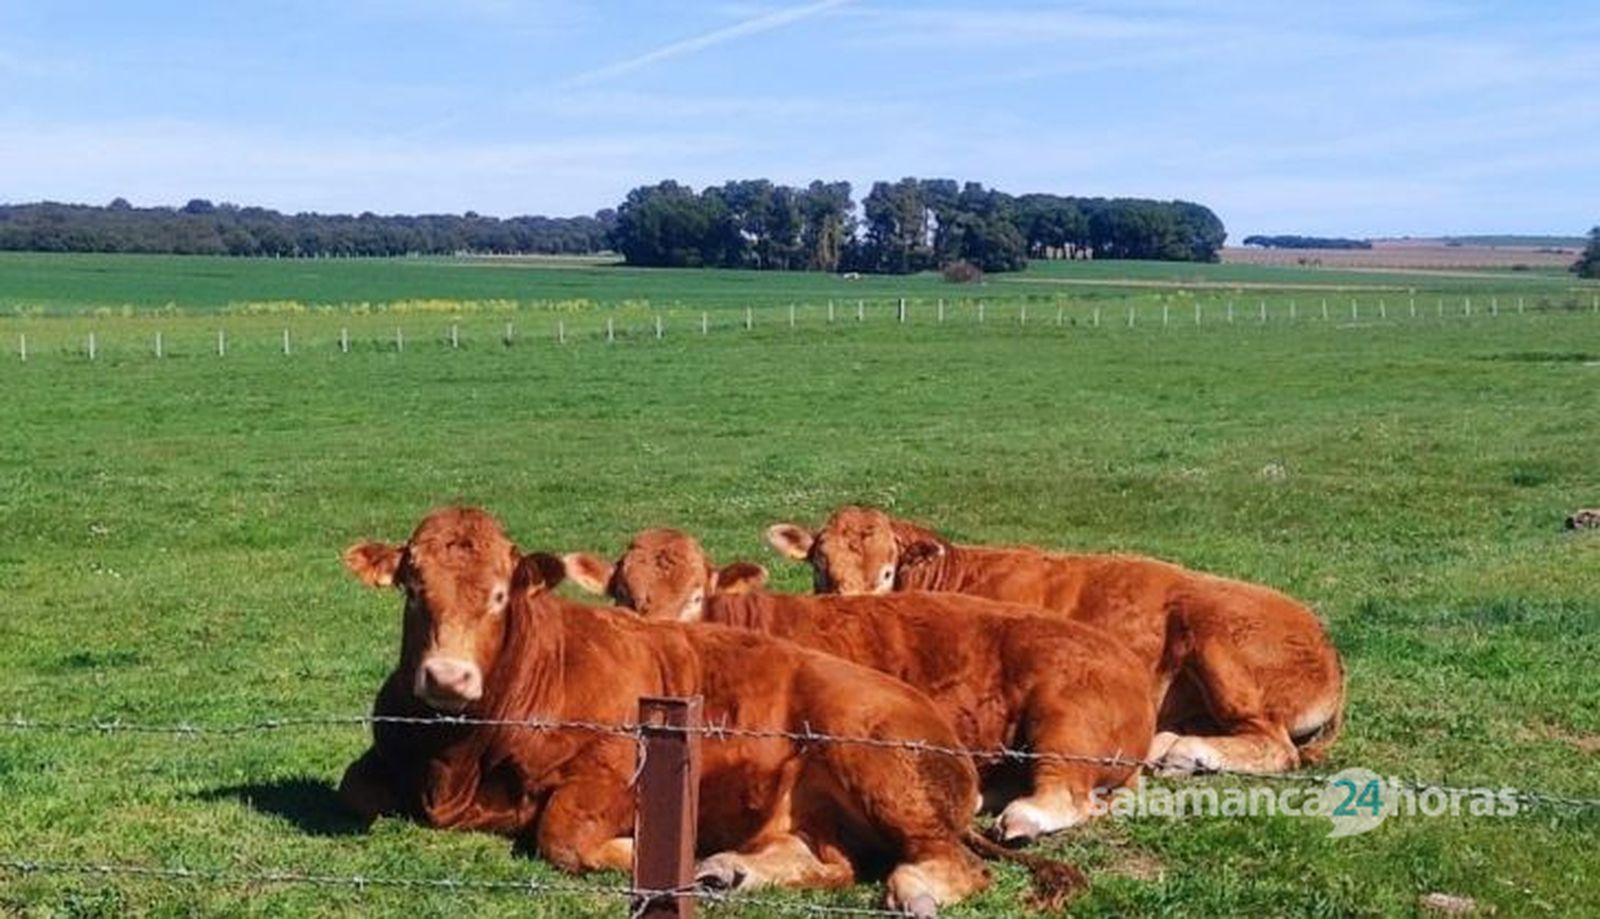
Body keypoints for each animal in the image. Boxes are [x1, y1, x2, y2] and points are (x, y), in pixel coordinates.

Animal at [337, 507, 1080, 916]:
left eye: (497, 595)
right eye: (413, 587)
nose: (447, 676)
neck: (461, 753)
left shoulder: (613, 771)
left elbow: (562, 835)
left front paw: (649, 851)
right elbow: (356, 790)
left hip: (877, 762)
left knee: (950, 865)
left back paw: (912, 890)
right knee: (830, 861)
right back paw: (729, 868)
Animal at [765, 506, 1345, 776]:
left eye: (886, 573)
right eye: (819, 567)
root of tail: (1324, 639)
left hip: (1220, 643)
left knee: (1276, 746)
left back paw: (1186, 752)